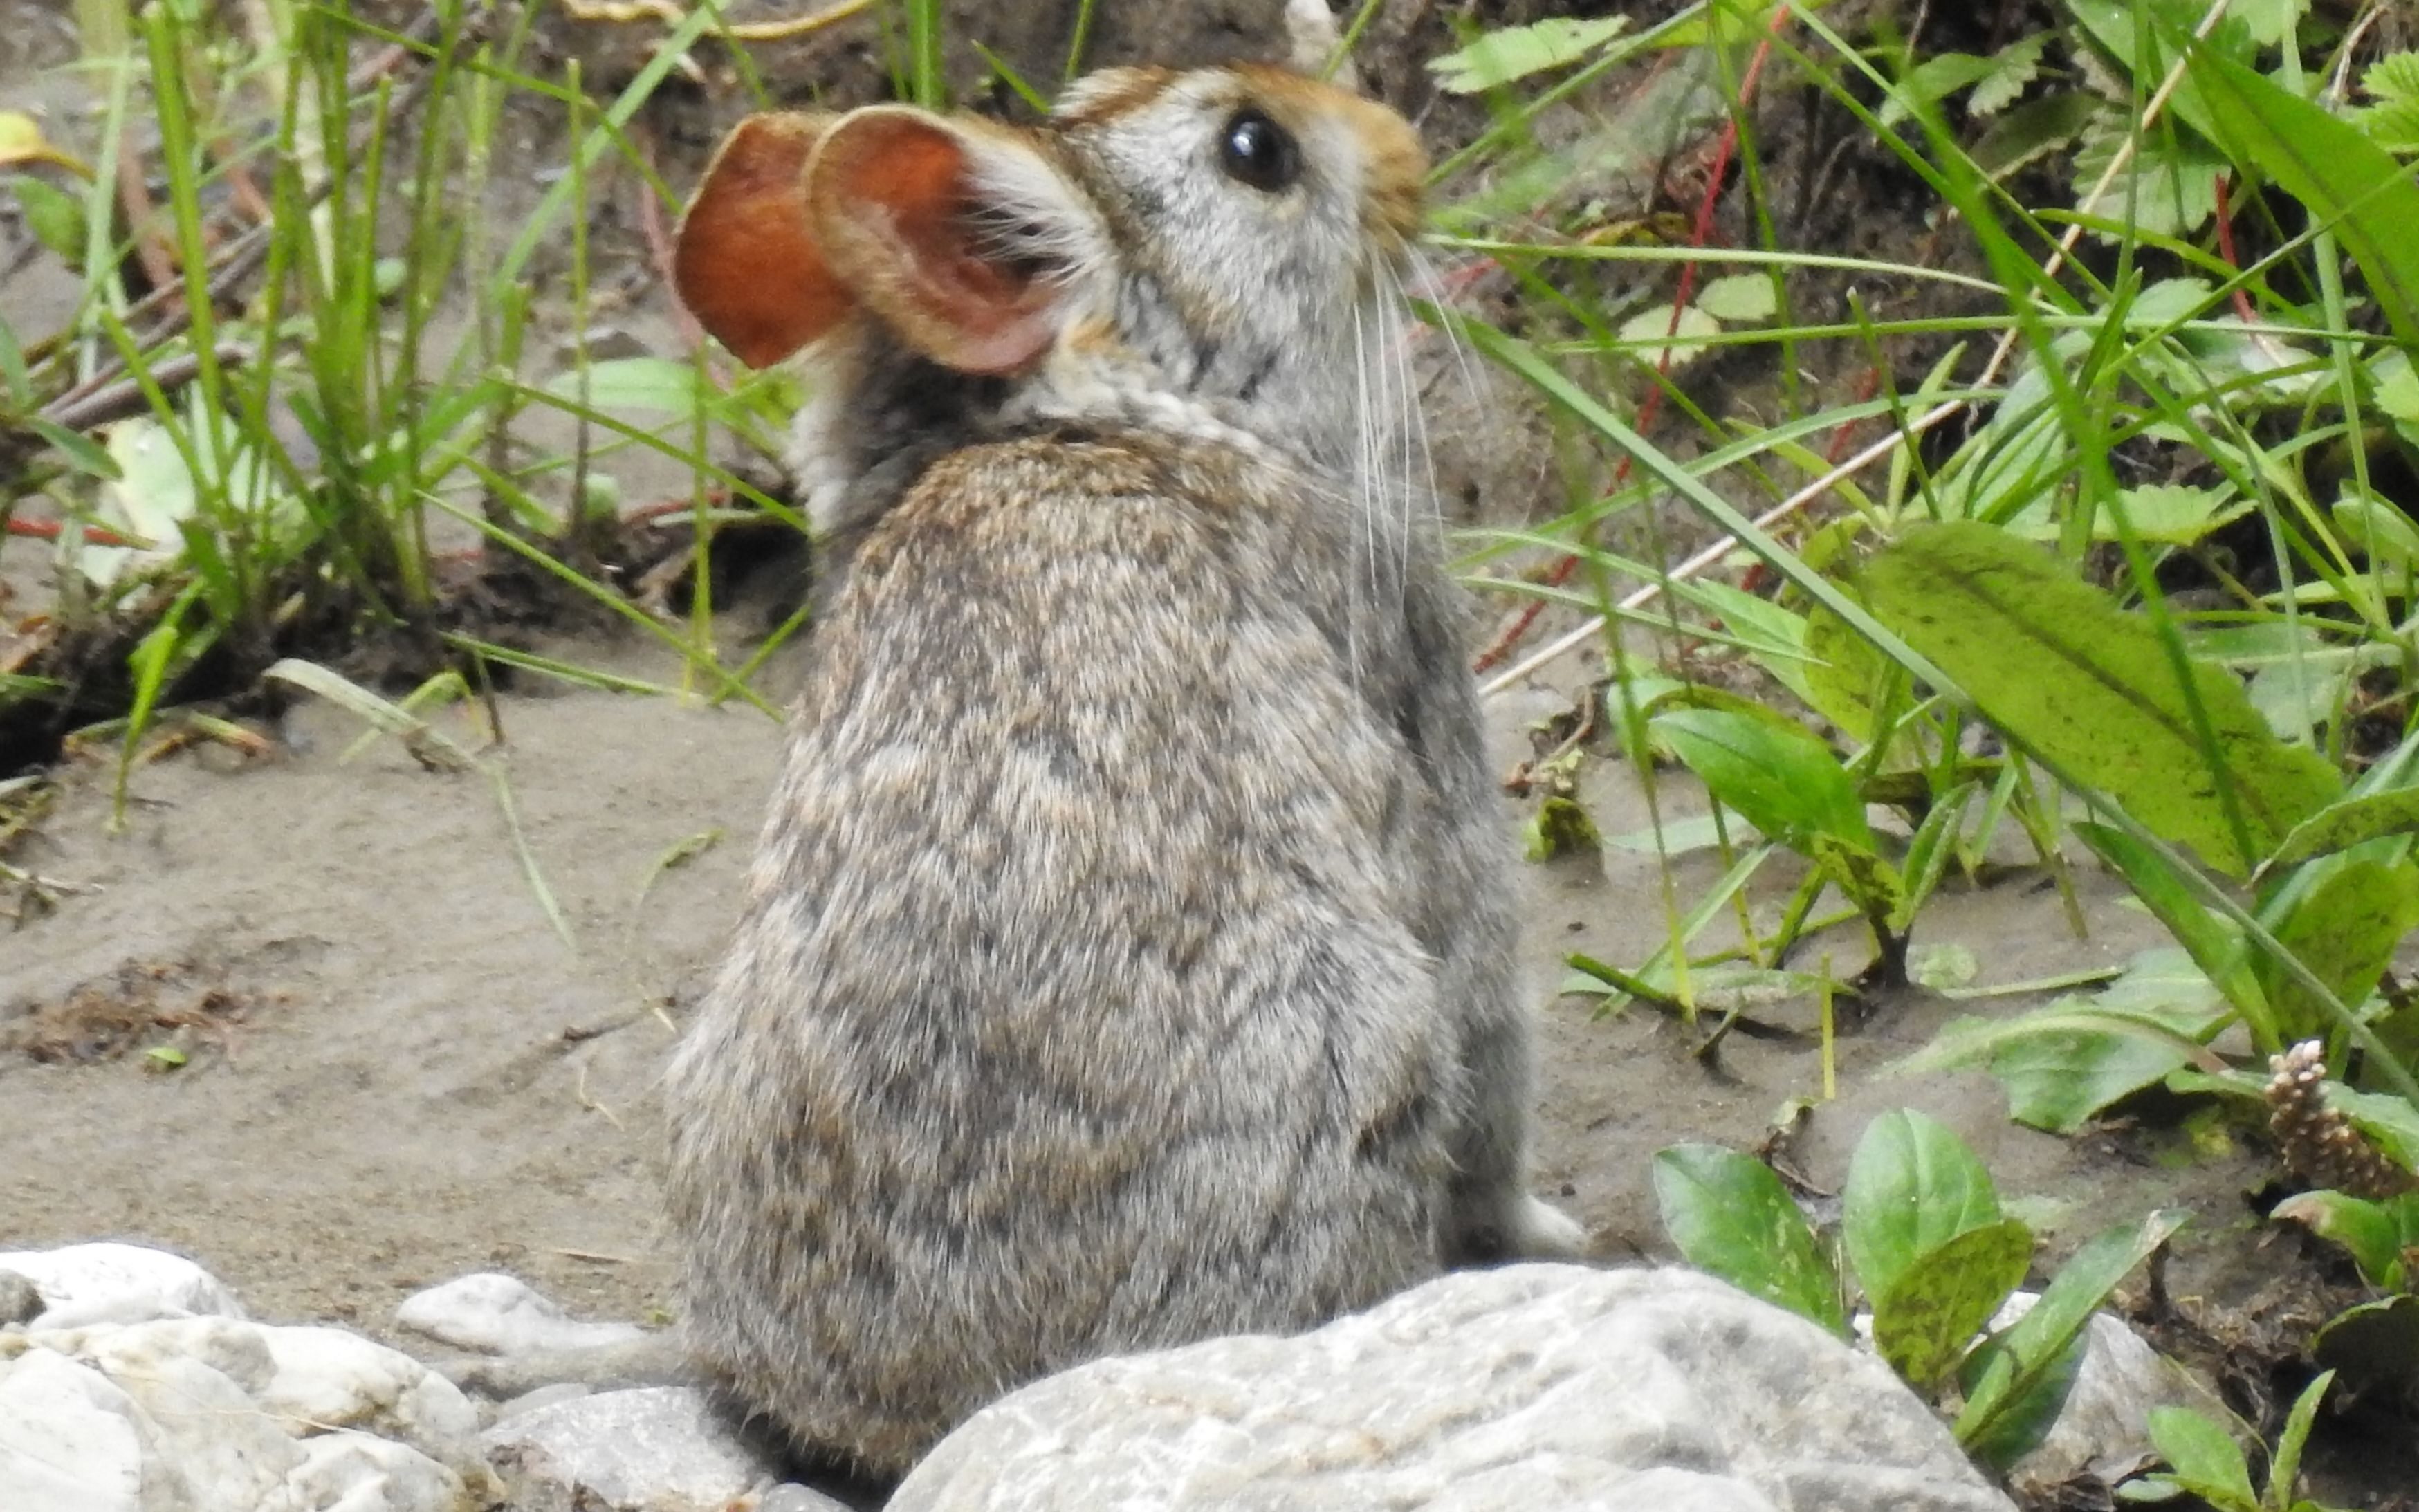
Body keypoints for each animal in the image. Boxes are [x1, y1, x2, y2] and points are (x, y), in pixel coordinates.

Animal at [663, 62, 1587, 1470]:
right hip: (1357, 1045)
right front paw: (1550, 1235)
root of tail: (940, 1406)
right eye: (1254, 150)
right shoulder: (1431, 732)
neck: (1122, 408)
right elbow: (1496, 1032)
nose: (1400, 147)